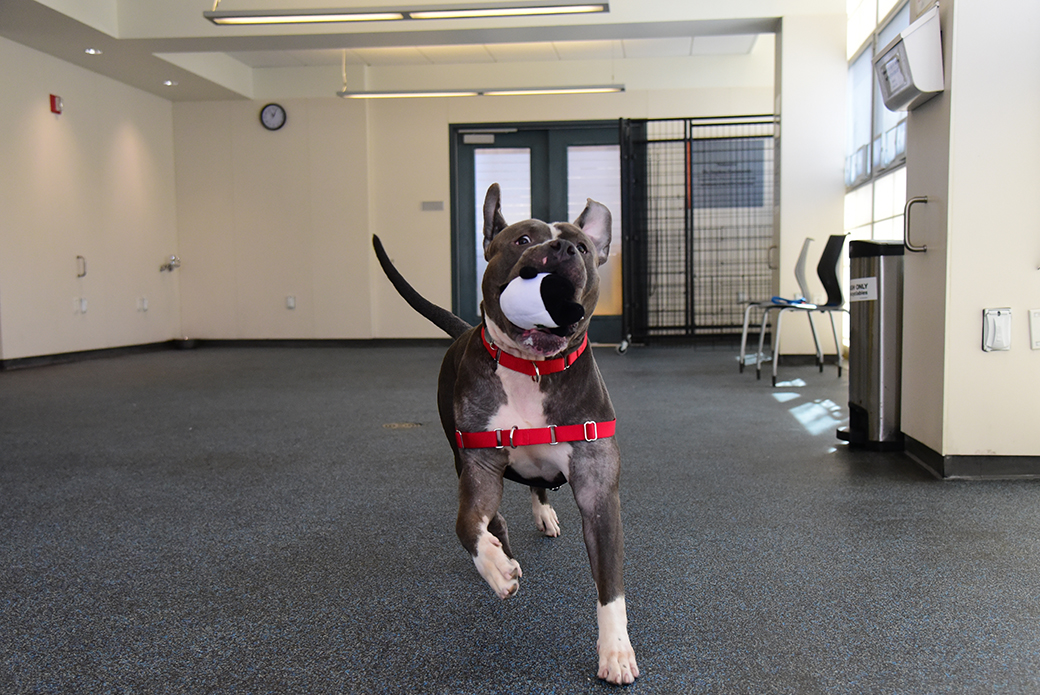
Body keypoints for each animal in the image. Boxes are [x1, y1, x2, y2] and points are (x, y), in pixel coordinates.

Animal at [370, 181, 636, 682]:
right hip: (459, 454)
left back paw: (543, 516)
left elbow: (610, 585)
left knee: (538, 487)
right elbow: (466, 523)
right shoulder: (478, 466)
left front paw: (616, 651)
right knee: (494, 515)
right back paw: (504, 550)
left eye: (583, 247)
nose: (562, 249)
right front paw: (494, 565)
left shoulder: (598, 491)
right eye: (523, 240)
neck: (531, 368)